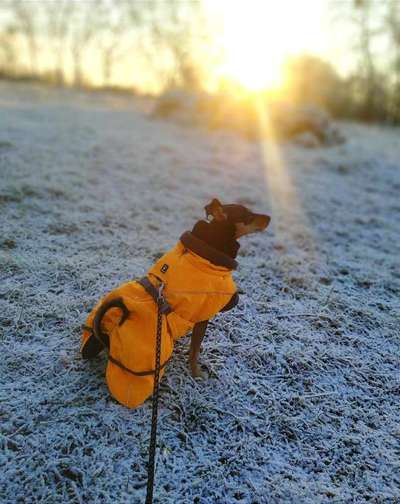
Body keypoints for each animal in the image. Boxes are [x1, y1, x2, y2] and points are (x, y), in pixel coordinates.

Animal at [80, 199, 270, 408]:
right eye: (248, 216)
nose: (269, 217)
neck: (207, 249)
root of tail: (110, 332)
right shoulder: (204, 315)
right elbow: (194, 351)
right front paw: (197, 375)